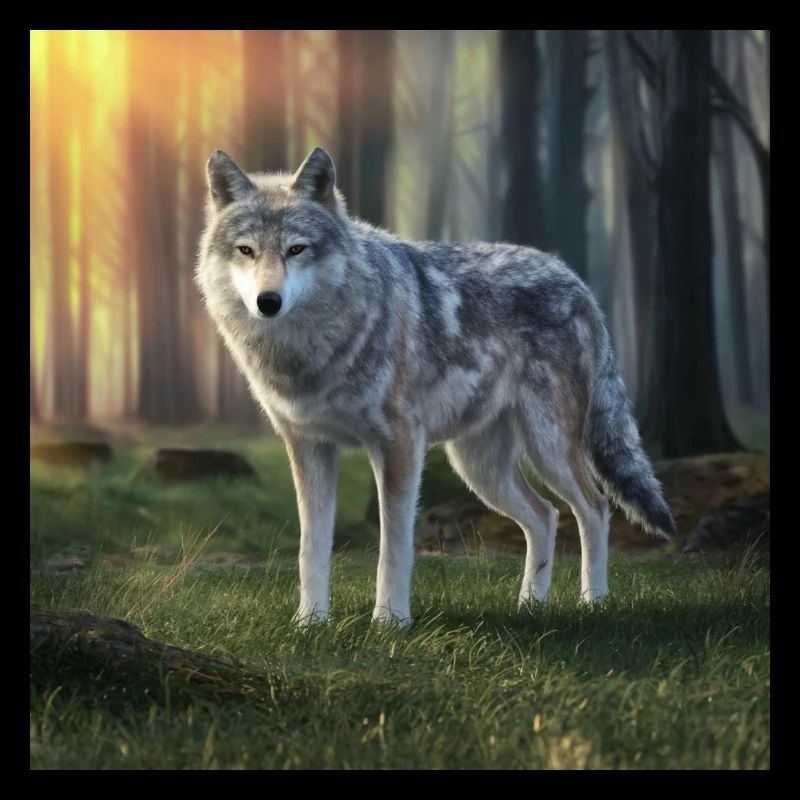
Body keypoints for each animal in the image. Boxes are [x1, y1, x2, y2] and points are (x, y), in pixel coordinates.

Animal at [195, 147, 675, 627]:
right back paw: (529, 607)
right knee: (546, 516)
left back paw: (593, 603)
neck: (310, 351)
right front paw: (309, 623)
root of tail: (577, 282)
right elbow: (309, 549)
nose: (268, 302)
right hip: (480, 468)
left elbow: (393, 549)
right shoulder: (308, 447)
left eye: (296, 249)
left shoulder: (399, 444)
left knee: (594, 507)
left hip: (549, 448)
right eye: (246, 251)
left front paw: (389, 623)